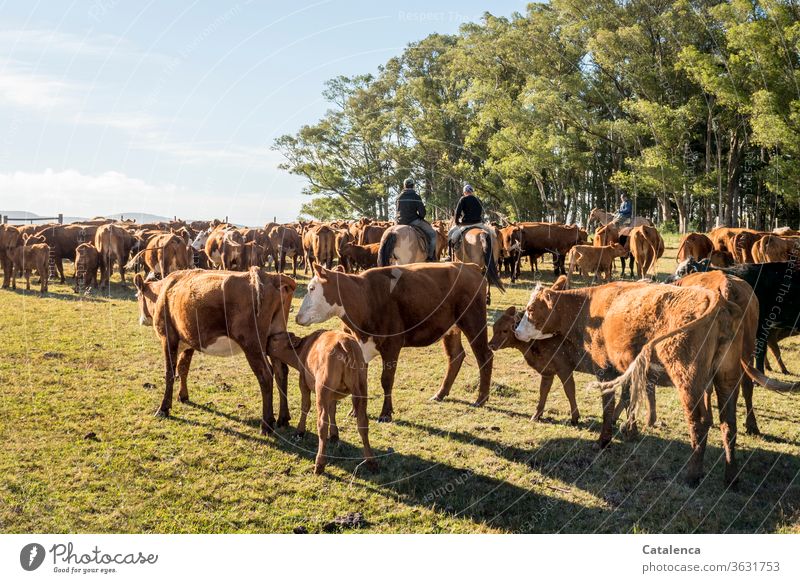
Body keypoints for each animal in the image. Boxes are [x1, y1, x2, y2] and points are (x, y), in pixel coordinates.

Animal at [134, 268, 296, 434]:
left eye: (138, 296)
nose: (141, 320)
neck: (164, 291)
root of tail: (271, 276)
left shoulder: (167, 338)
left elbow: (170, 373)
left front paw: (163, 408)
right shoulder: (189, 341)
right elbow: (183, 368)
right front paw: (183, 396)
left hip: (252, 344)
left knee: (266, 376)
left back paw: (266, 425)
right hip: (275, 337)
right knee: (281, 371)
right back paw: (283, 418)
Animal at [268, 328, 376, 474]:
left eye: (275, 339)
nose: (266, 339)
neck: (304, 348)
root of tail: (345, 342)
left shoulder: (304, 383)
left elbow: (305, 406)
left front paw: (300, 431)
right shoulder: (332, 395)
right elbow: (332, 410)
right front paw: (334, 435)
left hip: (322, 390)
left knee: (322, 424)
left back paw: (319, 464)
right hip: (361, 389)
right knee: (363, 423)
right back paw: (371, 462)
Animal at [296, 266, 494, 424]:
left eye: (312, 288)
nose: (297, 317)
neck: (366, 298)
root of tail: (471, 267)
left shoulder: (392, 347)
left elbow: (386, 380)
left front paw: (385, 413)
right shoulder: (360, 351)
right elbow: (360, 382)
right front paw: (355, 411)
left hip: (473, 321)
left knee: (484, 355)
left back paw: (481, 399)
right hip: (451, 329)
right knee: (455, 356)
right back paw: (441, 394)